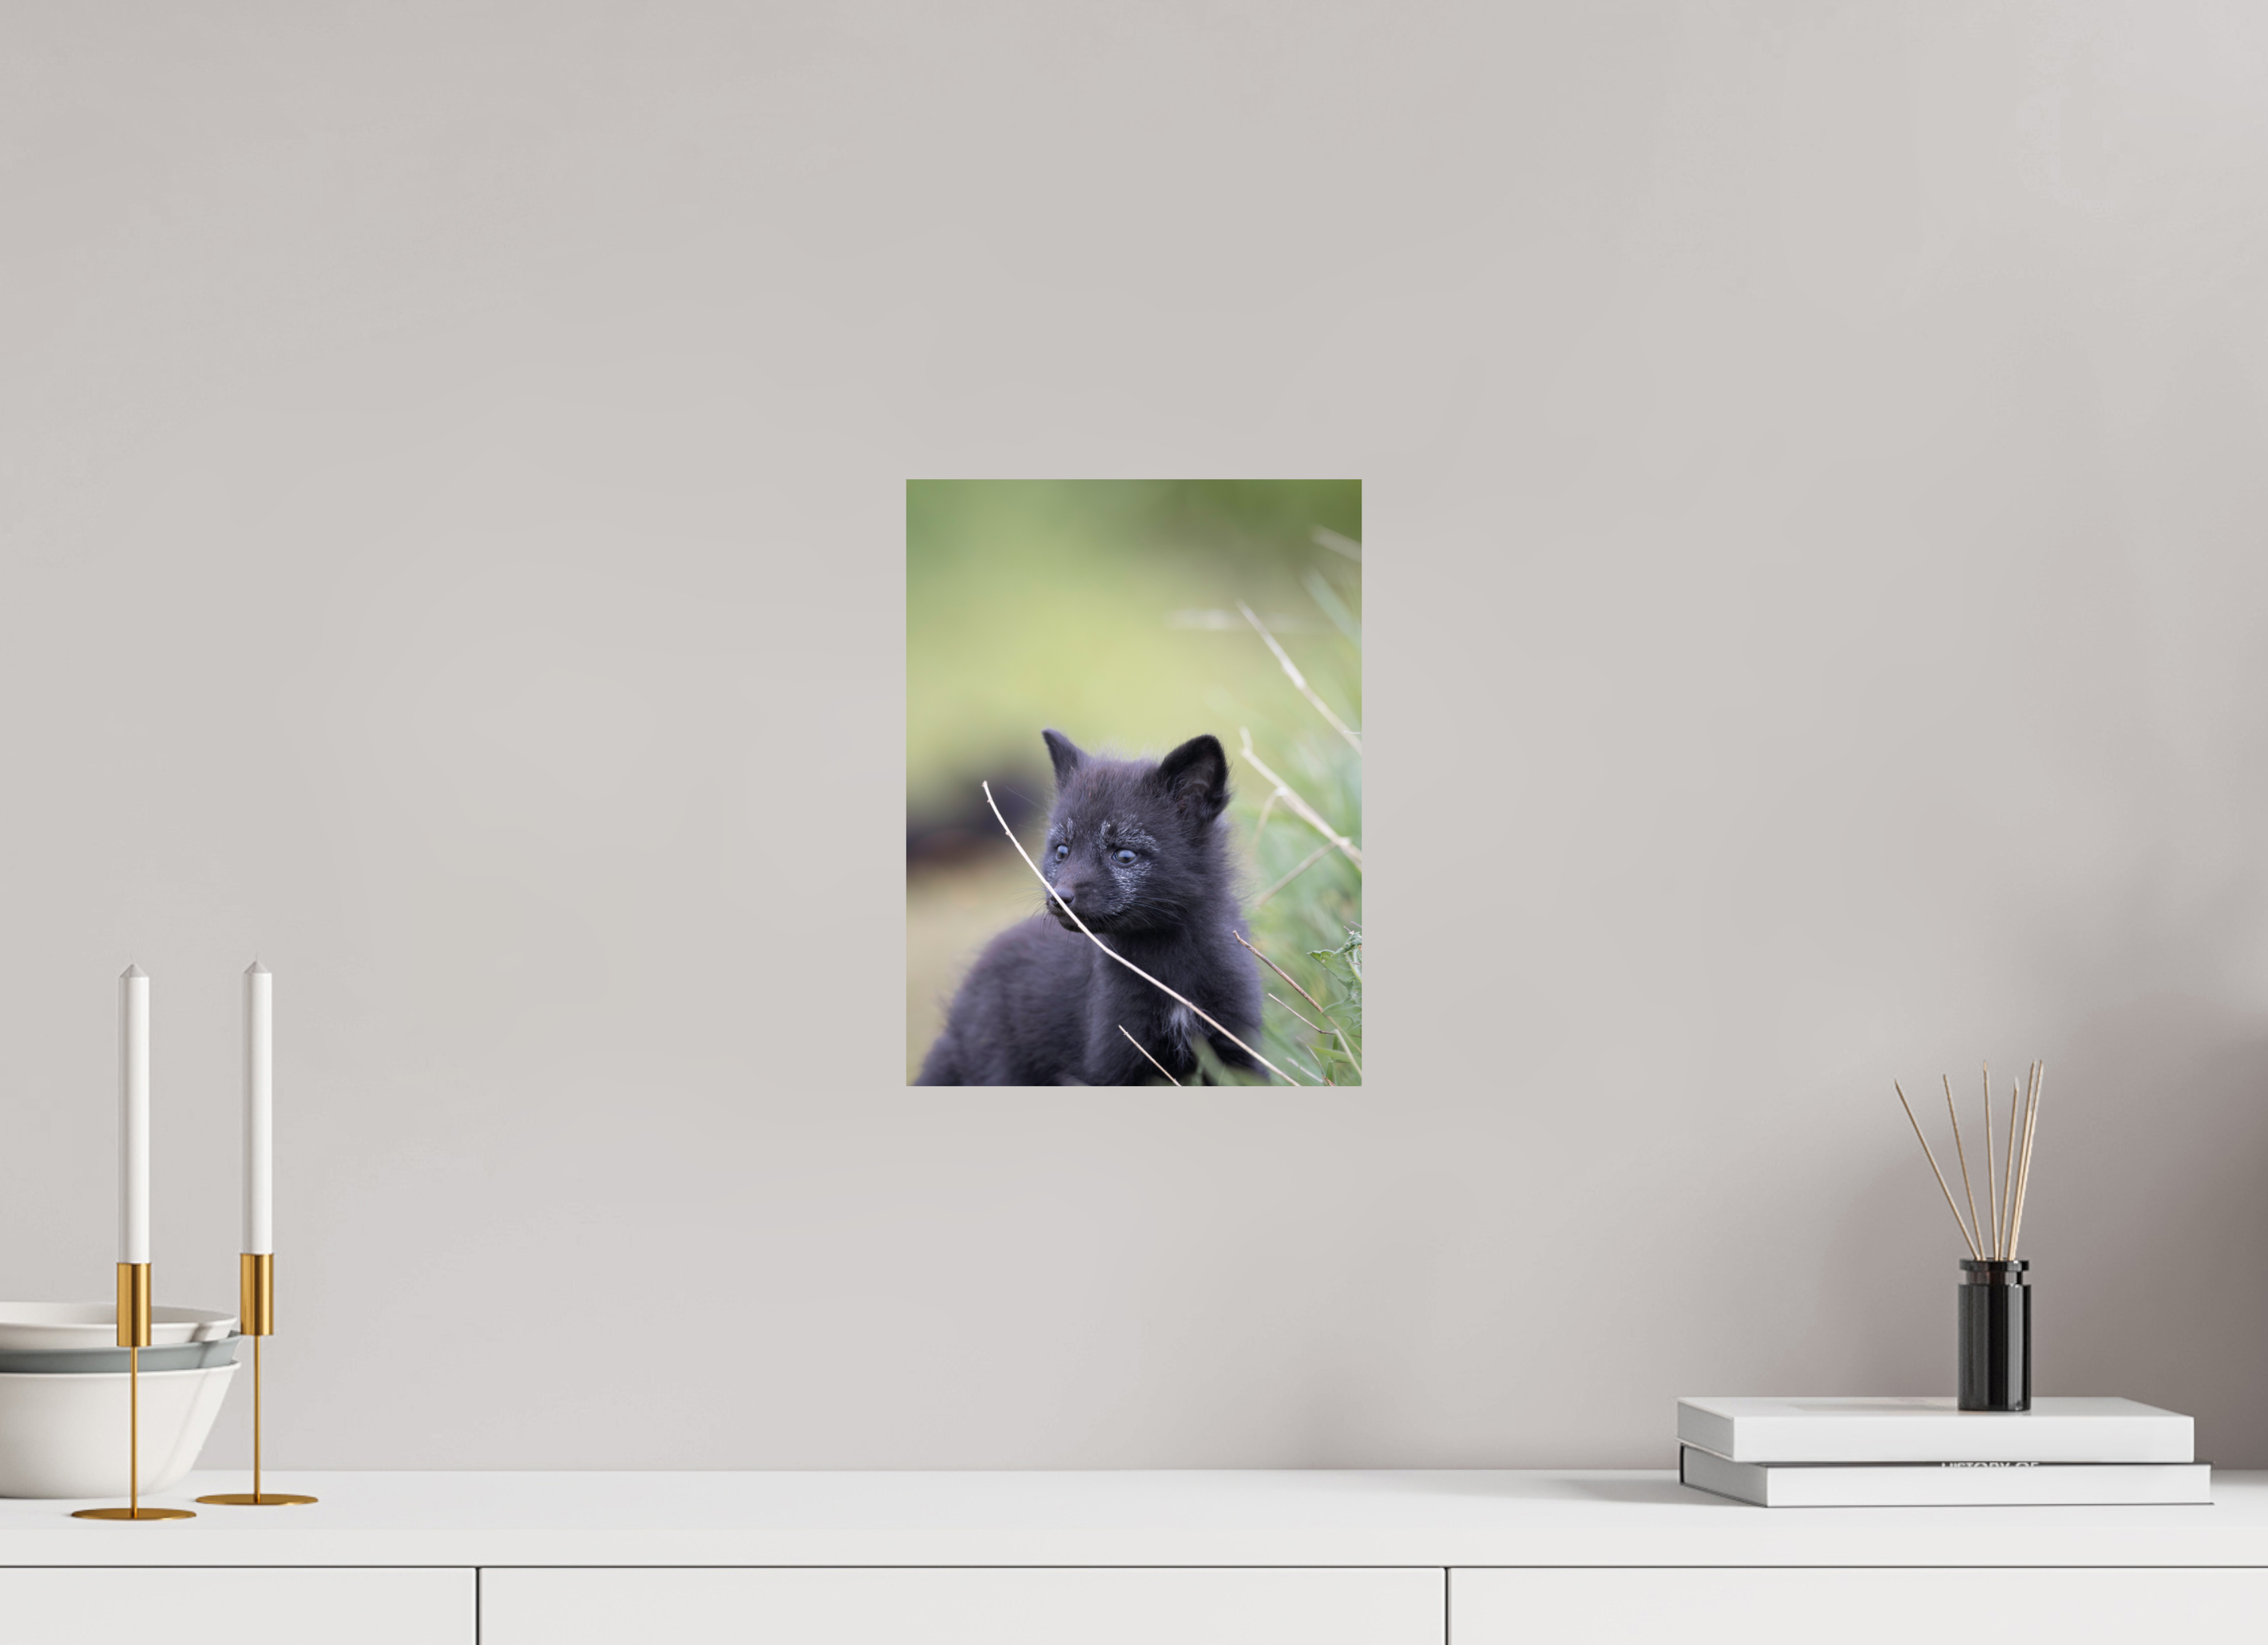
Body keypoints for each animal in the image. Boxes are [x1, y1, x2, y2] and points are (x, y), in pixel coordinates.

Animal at [915, 729, 1264, 1085]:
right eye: (1062, 851)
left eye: (1124, 855)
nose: (1059, 898)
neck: (1169, 971)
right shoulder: (1113, 1063)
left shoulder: (1237, 1049)